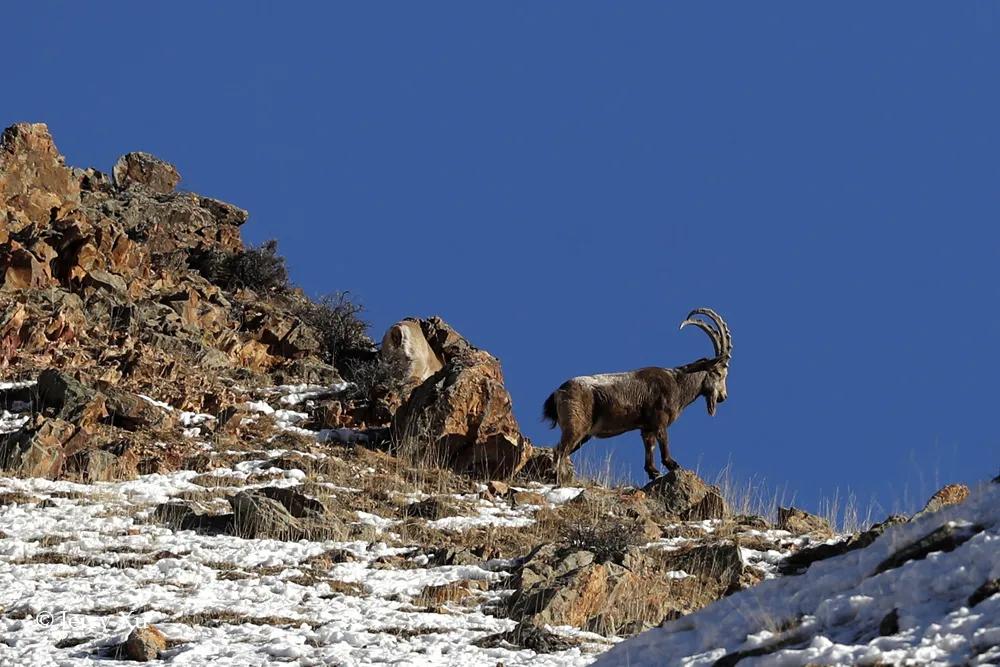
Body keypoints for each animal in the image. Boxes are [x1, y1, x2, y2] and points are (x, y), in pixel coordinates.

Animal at [544, 308, 732, 480]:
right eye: (719, 373)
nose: (723, 397)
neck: (678, 383)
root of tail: (559, 391)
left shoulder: (646, 427)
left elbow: (649, 446)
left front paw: (652, 471)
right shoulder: (659, 420)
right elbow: (663, 441)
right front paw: (671, 464)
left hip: (584, 434)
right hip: (576, 426)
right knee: (560, 450)